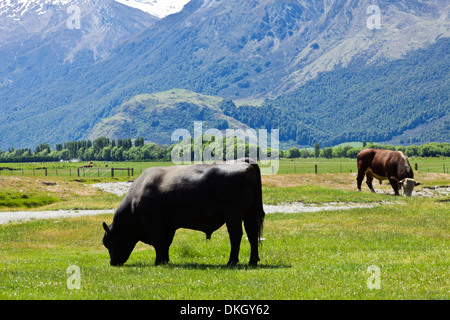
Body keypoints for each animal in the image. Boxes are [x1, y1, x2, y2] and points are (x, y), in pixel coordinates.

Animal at [102, 161, 264, 266]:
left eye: (108, 242)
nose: (112, 263)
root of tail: (246, 163)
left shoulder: (153, 222)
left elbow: (158, 241)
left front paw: (158, 262)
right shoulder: (169, 225)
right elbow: (165, 243)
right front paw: (165, 261)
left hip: (233, 215)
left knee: (236, 235)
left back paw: (231, 261)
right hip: (250, 214)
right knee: (252, 234)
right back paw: (252, 261)